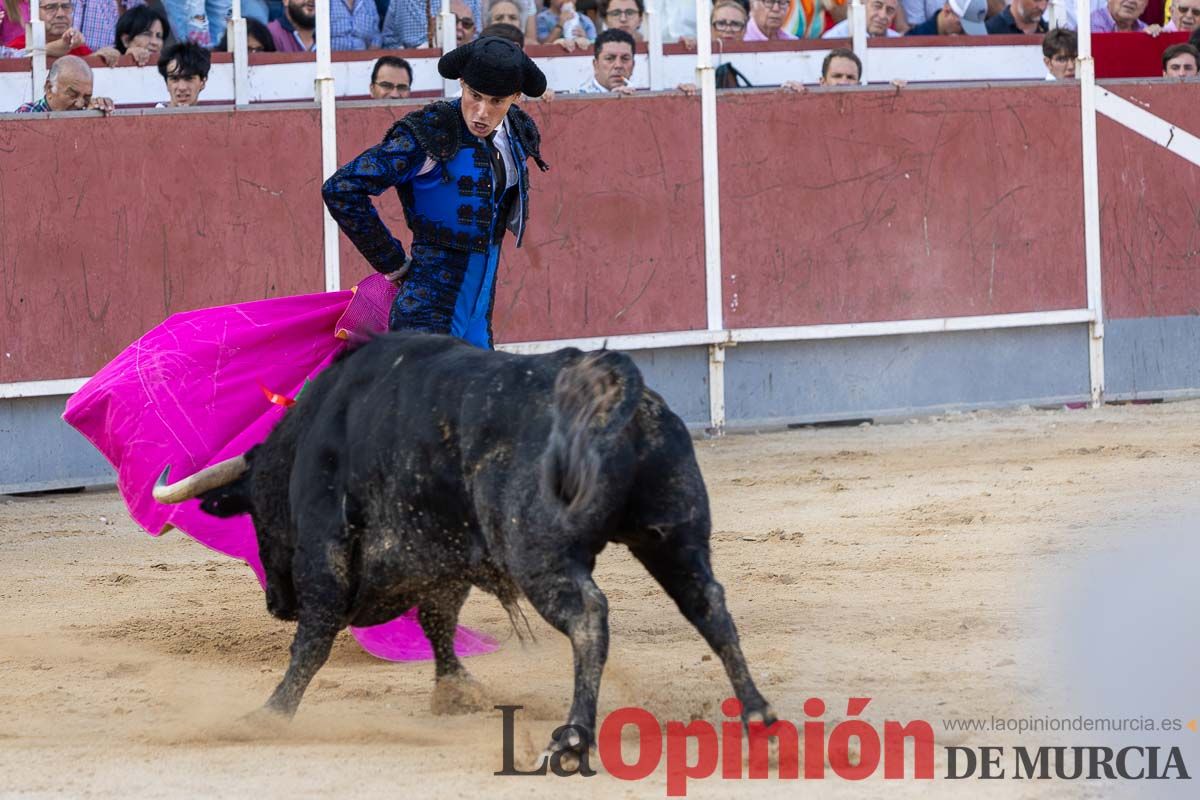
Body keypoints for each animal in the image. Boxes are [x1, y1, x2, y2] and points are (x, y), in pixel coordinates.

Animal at [154, 331, 772, 758]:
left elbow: (313, 641)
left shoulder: (325, 554)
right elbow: (438, 622)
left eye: (258, 514)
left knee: (589, 616)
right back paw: (757, 716)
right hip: (674, 534)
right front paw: (454, 693)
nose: (276, 605)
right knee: (708, 606)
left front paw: (269, 714)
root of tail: (608, 385)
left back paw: (573, 737)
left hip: (538, 552)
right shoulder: (440, 557)